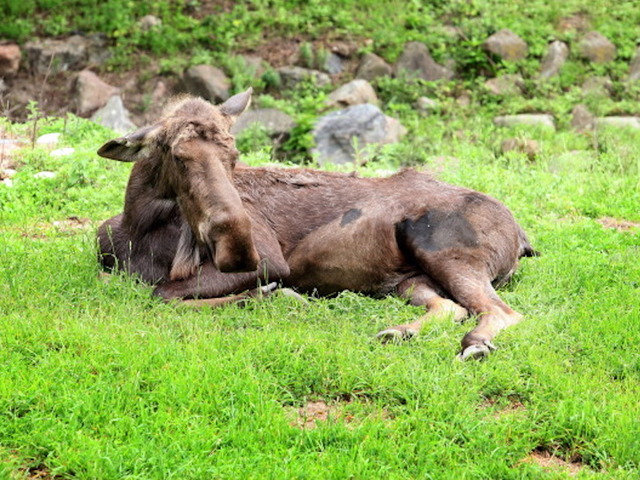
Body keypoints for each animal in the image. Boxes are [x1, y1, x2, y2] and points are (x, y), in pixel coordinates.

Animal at [97, 88, 537, 360]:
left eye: (234, 156)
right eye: (177, 154)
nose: (234, 246)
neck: (140, 228)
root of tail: (522, 238)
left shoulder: (271, 260)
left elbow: (162, 294)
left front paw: (275, 295)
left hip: (442, 251)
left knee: (502, 312)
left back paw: (474, 345)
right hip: (409, 279)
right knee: (451, 307)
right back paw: (399, 331)